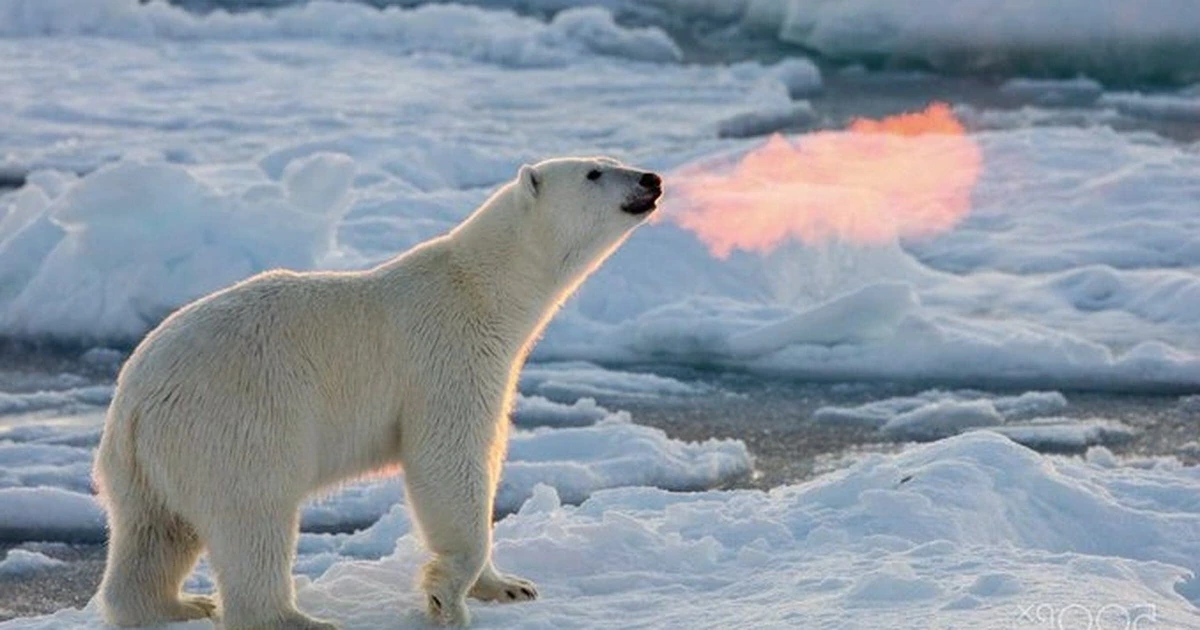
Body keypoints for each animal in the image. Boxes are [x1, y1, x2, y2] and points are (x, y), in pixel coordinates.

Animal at [92, 156, 663, 629]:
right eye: (594, 172)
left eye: (611, 159)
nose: (651, 179)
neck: (483, 288)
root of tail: (135, 401)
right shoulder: (448, 355)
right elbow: (448, 459)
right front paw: (446, 597)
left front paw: (509, 586)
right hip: (235, 421)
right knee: (253, 518)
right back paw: (296, 619)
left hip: (146, 463)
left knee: (154, 533)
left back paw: (177, 605)